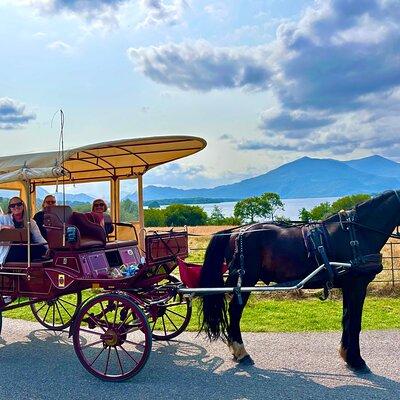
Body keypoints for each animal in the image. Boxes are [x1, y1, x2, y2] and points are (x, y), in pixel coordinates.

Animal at [200, 189, 400, 374]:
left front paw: (347, 355)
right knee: (235, 311)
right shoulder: (357, 285)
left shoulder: (348, 286)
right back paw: (241, 352)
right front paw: (356, 361)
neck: (356, 233)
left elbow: (347, 319)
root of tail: (235, 232)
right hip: (247, 278)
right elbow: (355, 323)